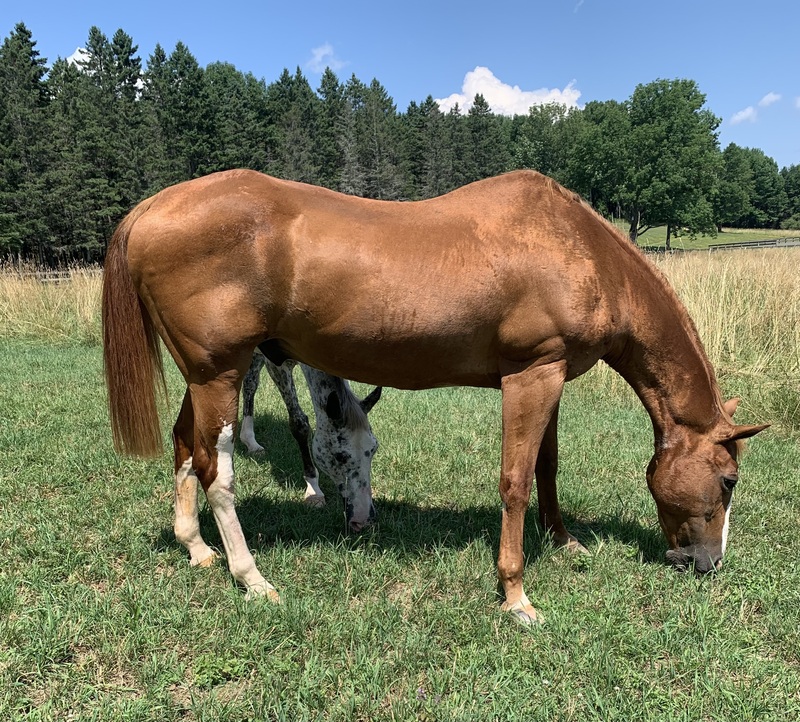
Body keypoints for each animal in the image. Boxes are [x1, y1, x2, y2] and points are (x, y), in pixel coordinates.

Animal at [101, 170, 768, 624]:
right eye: (728, 480)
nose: (709, 562)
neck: (582, 251)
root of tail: (154, 206)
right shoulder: (530, 376)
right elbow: (515, 482)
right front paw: (516, 595)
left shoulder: (550, 375)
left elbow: (546, 468)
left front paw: (563, 540)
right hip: (220, 372)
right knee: (216, 470)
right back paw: (252, 577)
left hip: (205, 375)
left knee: (185, 447)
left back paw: (195, 548)